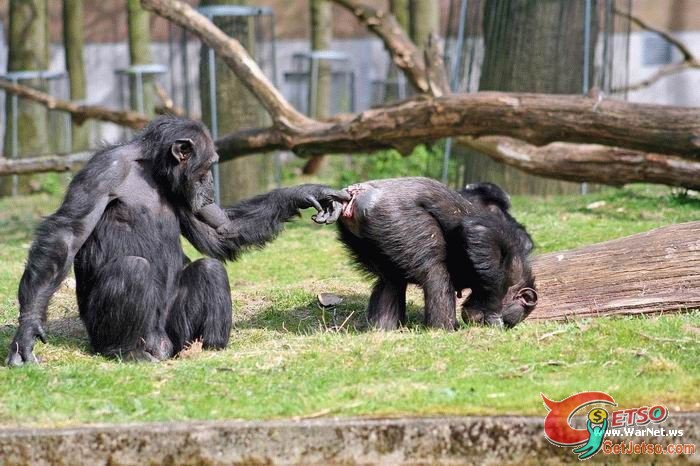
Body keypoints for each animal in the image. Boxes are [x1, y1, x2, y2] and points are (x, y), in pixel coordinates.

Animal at [4, 114, 344, 366]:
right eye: (207, 166)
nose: (209, 184)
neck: (152, 170)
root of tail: (163, 344)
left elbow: (222, 230)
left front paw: (305, 193)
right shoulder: (102, 171)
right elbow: (67, 233)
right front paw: (28, 330)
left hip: (175, 329)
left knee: (210, 269)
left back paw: (207, 347)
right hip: (113, 333)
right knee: (132, 269)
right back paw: (129, 352)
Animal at [320, 177, 540, 330]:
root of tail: (354, 195)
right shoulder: (503, 237)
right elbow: (479, 232)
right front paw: (493, 315)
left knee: (390, 280)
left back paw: (383, 329)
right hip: (397, 218)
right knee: (435, 273)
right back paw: (443, 329)